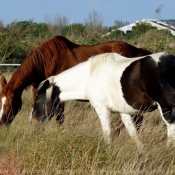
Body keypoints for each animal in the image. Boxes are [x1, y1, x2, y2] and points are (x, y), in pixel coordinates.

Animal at [30, 52, 175, 148]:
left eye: (37, 99)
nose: (32, 122)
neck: (89, 76)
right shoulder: (123, 112)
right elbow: (133, 133)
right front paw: (142, 152)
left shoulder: (102, 109)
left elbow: (107, 133)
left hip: (166, 108)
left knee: (171, 128)